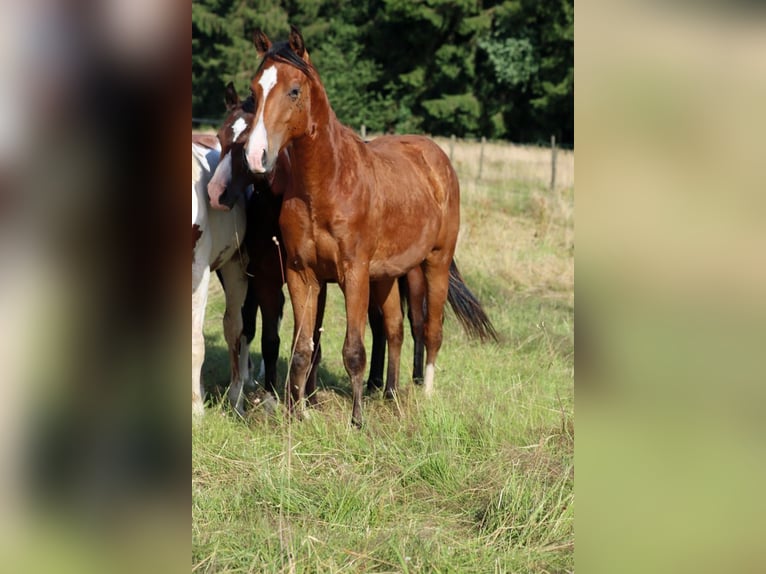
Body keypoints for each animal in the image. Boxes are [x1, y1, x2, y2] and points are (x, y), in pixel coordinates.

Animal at [243, 26, 497, 426]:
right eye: (255, 90)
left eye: (294, 90)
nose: (256, 157)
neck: (328, 183)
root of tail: (435, 157)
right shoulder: (303, 275)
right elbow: (302, 348)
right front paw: (300, 415)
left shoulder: (354, 274)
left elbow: (353, 350)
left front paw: (356, 420)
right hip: (388, 276)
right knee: (394, 329)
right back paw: (390, 393)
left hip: (434, 263)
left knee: (431, 329)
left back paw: (425, 393)